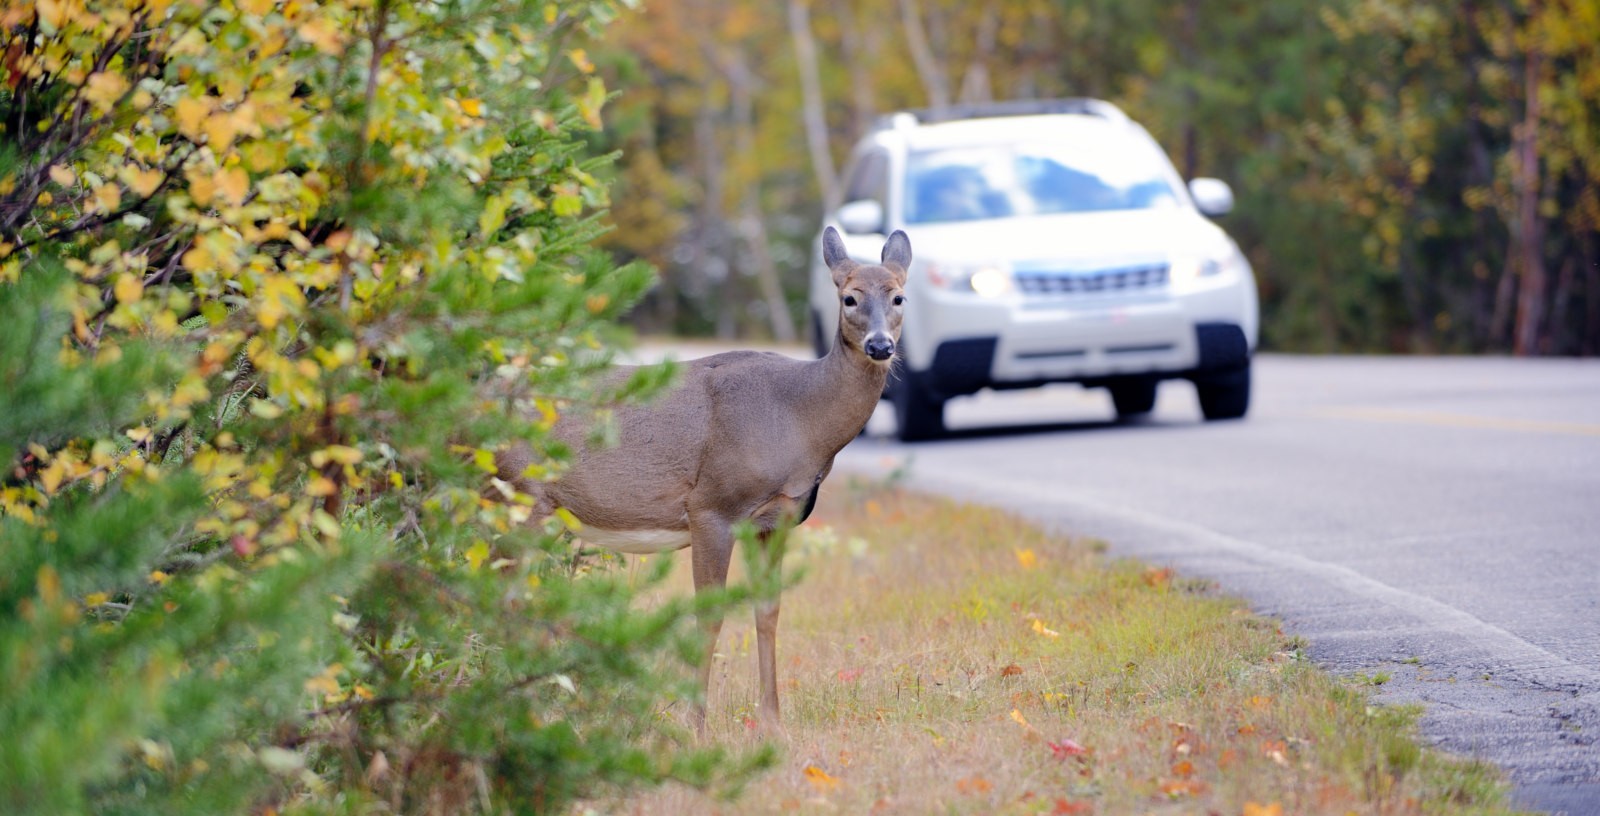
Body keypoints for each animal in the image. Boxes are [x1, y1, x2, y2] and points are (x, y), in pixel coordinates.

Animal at [492, 225, 908, 736]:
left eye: (899, 297)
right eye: (849, 298)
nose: (879, 346)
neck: (797, 417)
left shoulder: (778, 518)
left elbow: (768, 610)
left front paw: (773, 724)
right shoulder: (712, 506)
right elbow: (708, 617)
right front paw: (695, 726)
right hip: (517, 494)